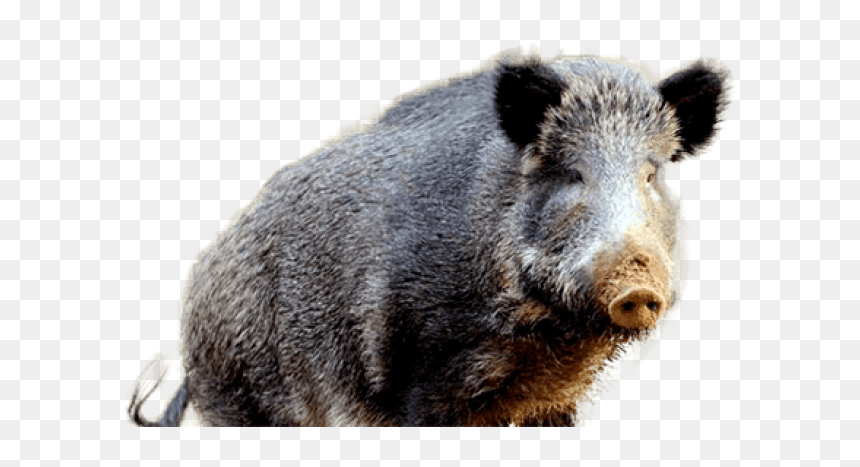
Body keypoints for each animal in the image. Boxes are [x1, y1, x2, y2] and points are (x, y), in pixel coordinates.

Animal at [128, 53, 728, 426]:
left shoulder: (553, 403)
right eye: (571, 173)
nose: (637, 286)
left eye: (650, 174)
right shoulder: (417, 374)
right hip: (237, 397)